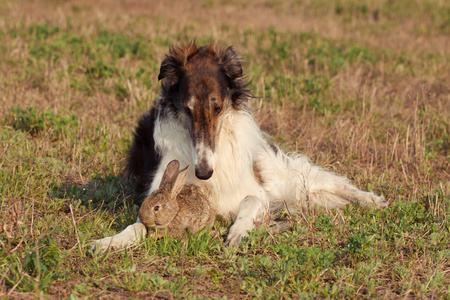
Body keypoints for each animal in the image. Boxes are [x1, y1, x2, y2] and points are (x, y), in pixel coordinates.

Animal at [93, 41, 388, 250]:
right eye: (187, 110)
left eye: (218, 107)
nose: (203, 173)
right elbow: (137, 226)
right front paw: (110, 242)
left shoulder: (256, 193)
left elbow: (250, 200)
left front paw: (239, 231)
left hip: (281, 175)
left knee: (332, 183)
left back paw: (372, 200)